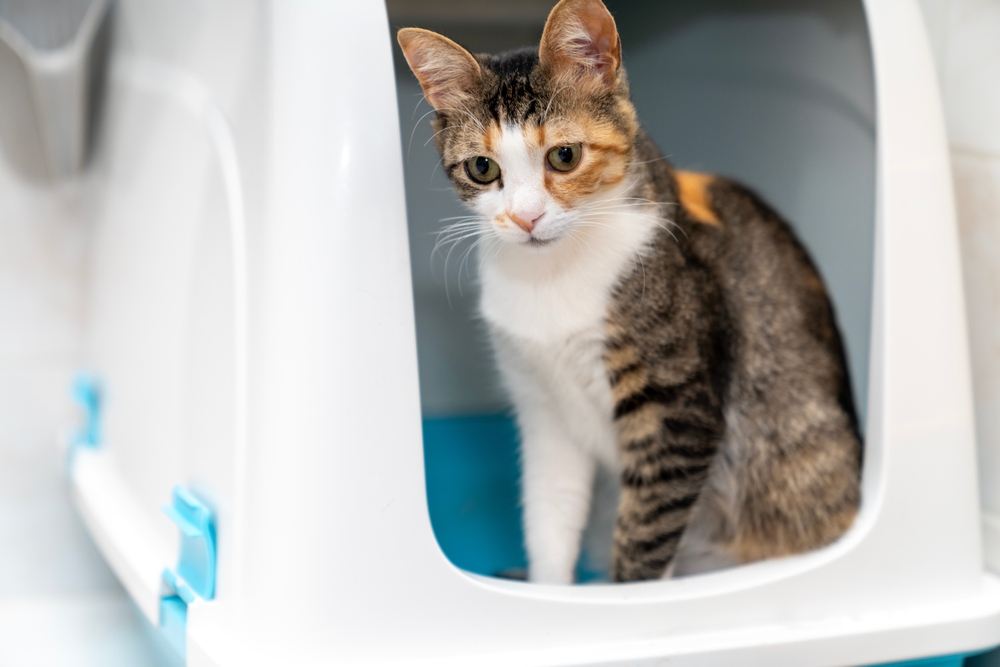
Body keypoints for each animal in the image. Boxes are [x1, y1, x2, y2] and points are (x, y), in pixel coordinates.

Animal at [396, 0, 860, 584]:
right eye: (483, 168)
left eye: (564, 156)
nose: (525, 219)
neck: (550, 275)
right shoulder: (543, 410)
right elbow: (550, 511)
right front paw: (549, 590)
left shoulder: (677, 409)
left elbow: (645, 533)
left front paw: (628, 600)